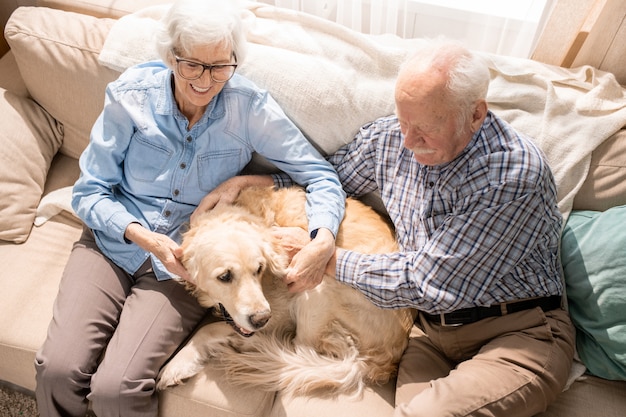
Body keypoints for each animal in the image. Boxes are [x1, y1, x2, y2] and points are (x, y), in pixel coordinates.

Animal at [156, 186, 412, 396]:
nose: (261, 319)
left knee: (299, 347)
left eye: (259, 269)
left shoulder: (278, 313)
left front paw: (176, 364)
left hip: (316, 280)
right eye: (225, 276)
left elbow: (207, 329)